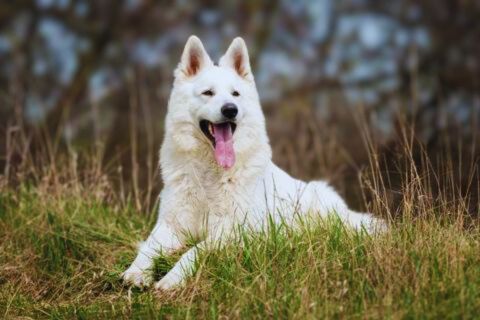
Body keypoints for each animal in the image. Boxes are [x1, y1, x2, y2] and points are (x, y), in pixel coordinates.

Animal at [123, 35, 382, 290]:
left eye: (235, 94)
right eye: (208, 93)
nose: (230, 109)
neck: (210, 174)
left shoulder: (232, 232)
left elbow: (194, 250)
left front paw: (172, 278)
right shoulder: (170, 225)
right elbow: (148, 248)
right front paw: (135, 272)